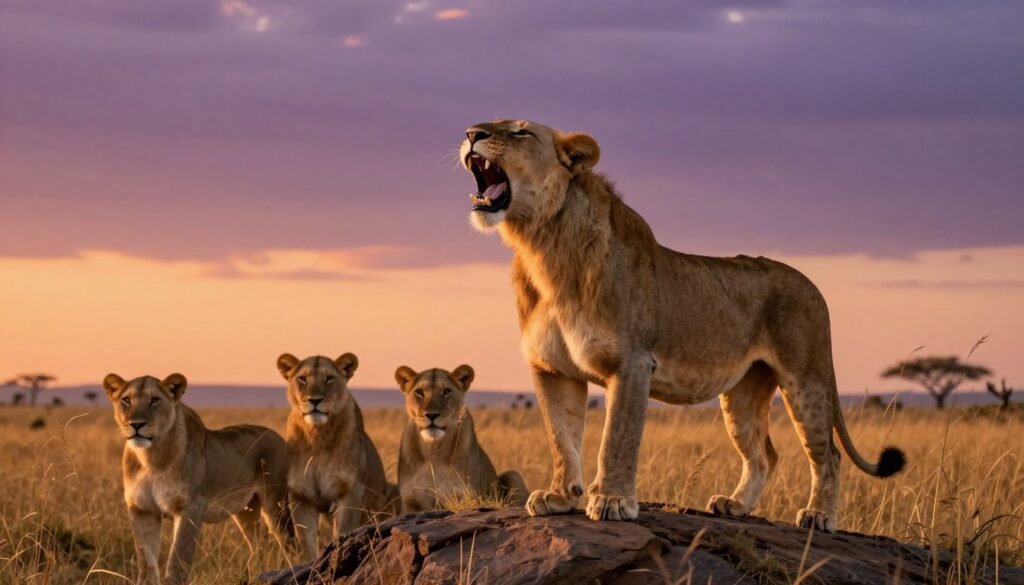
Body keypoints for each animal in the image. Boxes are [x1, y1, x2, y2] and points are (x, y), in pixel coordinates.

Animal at [103, 373, 293, 585]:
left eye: (155, 400)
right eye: (126, 400)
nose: (136, 424)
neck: (150, 457)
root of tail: (278, 436)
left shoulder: (191, 507)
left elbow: (178, 559)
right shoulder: (142, 510)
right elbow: (147, 563)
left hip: (275, 505)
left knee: (292, 544)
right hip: (246, 510)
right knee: (258, 544)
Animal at [277, 353, 397, 559]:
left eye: (329, 378)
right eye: (303, 378)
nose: (314, 400)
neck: (318, 437)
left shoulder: (349, 491)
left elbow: (343, 533)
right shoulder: (301, 496)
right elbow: (307, 543)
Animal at [395, 364, 528, 514]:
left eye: (446, 391)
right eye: (419, 392)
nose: (432, 415)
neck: (434, 451)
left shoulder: (466, 496)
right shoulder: (409, 503)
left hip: (513, 475)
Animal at [457, 120, 905, 531]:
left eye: (521, 132)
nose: (472, 133)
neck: (543, 244)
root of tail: (813, 284)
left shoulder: (632, 363)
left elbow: (617, 439)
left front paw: (613, 502)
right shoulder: (552, 369)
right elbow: (560, 438)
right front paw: (560, 497)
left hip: (806, 379)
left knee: (828, 454)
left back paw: (818, 516)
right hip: (743, 392)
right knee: (764, 454)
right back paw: (735, 505)